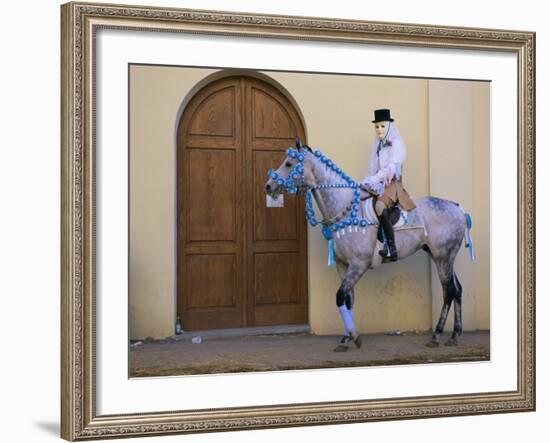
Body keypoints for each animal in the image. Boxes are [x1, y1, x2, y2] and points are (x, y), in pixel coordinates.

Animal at [266, 140, 476, 352]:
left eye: (289, 163)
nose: (268, 186)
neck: (346, 210)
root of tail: (457, 208)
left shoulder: (359, 264)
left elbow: (340, 296)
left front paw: (354, 337)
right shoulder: (343, 265)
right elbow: (348, 299)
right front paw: (346, 338)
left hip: (443, 256)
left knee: (449, 291)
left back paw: (436, 335)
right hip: (441, 256)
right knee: (457, 289)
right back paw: (454, 335)